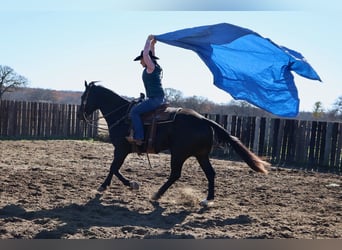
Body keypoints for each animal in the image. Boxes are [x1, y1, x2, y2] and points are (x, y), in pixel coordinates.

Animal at [78, 81, 270, 206]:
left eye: (83, 97)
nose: (80, 115)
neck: (122, 114)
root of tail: (203, 119)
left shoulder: (121, 149)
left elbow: (114, 167)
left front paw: (111, 186)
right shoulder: (121, 150)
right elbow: (115, 168)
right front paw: (123, 184)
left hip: (178, 153)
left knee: (175, 174)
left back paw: (157, 194)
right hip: (201, 155)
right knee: (210, 173)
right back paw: (207, 200)